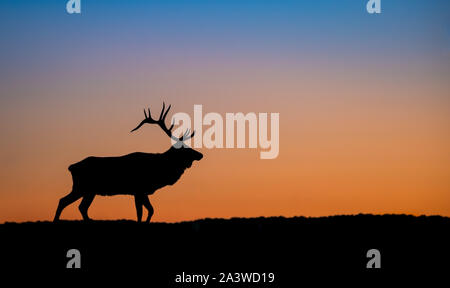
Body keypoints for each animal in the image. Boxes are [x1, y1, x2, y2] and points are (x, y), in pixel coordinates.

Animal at [51, 103, 204, 223]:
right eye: (184, 148)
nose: (200, 155)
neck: (159, 172)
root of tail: (71, 167)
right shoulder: (138, 189)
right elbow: (140, 213)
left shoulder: (142, 191)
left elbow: (151, 210)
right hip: (81, 187)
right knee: (64, 201)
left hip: (89, 190)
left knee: (81, 207)